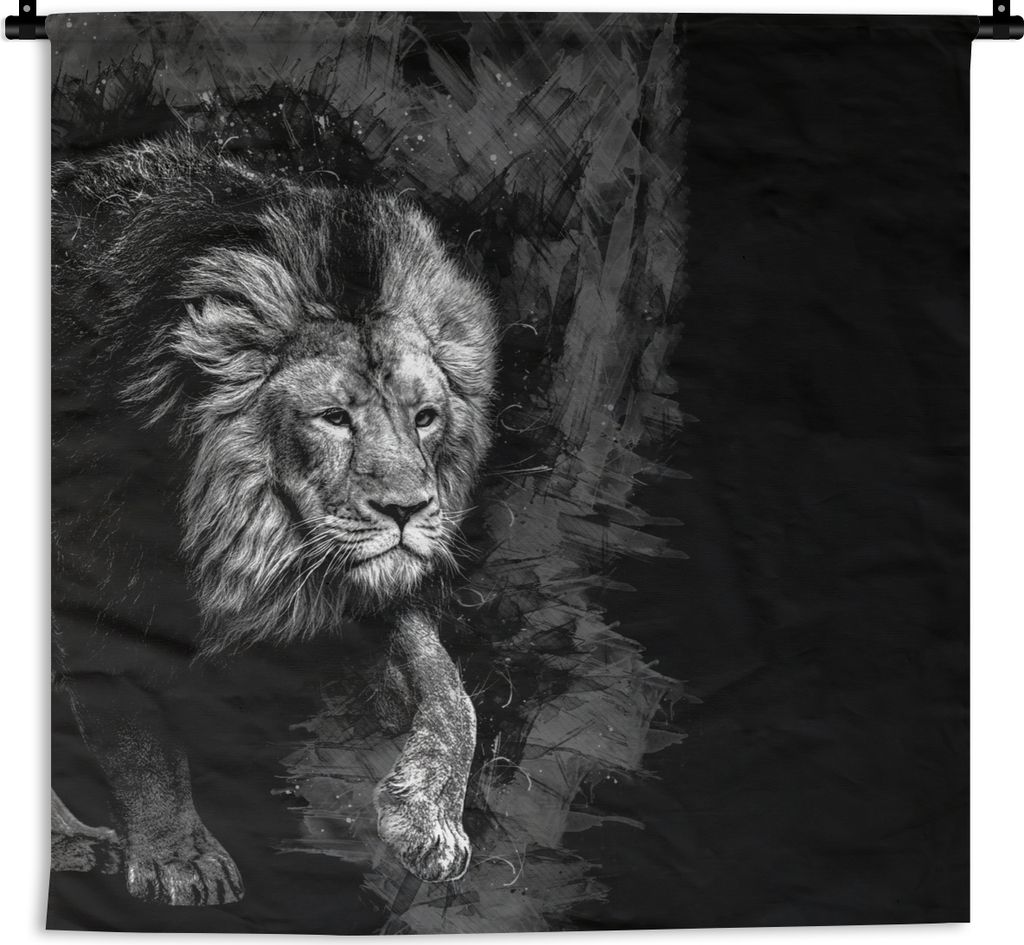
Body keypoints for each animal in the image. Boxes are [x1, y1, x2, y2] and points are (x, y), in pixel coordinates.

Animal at [50, 136, 497, 905]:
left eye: (425, 417)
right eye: (335, 417)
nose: (408, 510)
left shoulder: (362, 586)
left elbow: (449, 691)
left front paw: (429, 819)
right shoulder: (96, 572)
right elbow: (134, 729)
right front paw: (179, 858)